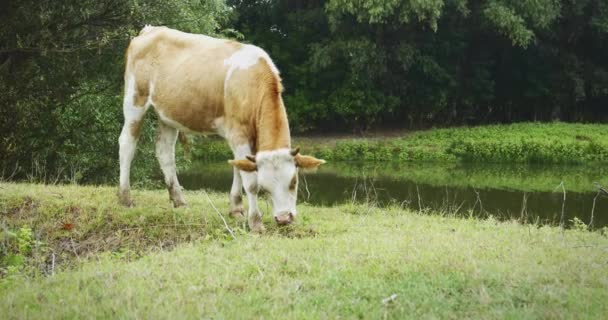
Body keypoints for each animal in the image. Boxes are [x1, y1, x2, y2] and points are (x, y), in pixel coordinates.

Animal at [120, 26, 328, 231]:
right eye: (264, 186)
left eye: (294, 181)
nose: (284, 218)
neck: (253, 80)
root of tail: (150, 30)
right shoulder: (238, 133)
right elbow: (249, 181)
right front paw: (255, 222)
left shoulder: (248, 138)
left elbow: (238, 166)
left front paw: (236, 209)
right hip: (134, 99)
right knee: (126, 144)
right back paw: (125, 197)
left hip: (168, 114)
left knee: (164, 152)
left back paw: (179, 200)